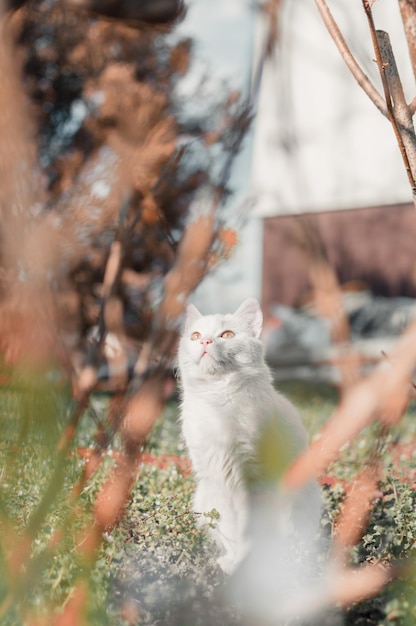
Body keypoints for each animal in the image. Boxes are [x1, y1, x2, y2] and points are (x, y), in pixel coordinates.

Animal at [177, 296, 320, 572]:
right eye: (195, 335)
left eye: (227, 335)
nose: (205, 341)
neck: (217, 402)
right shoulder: (216, 480)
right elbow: (231, 531)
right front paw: (233, 564)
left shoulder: (253, 479)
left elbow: (249, 533)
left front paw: (245, 568)